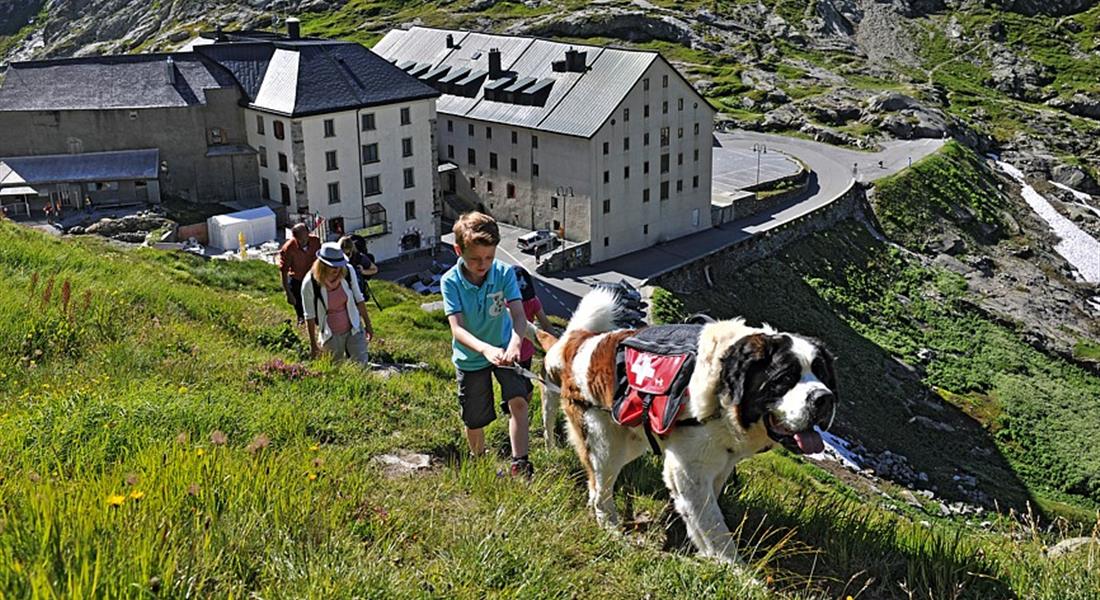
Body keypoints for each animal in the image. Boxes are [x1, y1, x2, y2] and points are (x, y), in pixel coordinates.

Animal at [530, 288, 831, 563]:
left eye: (822, 374)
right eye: (785, 378)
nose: (824, 398)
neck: (724, 393)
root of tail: (579, 342)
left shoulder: (720, 464)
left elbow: (701, 515)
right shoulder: (689, 469)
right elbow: (714, 525)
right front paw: (735, 571)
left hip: (630, 439)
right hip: (604, 440)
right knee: (601, 487)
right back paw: (611, 529)